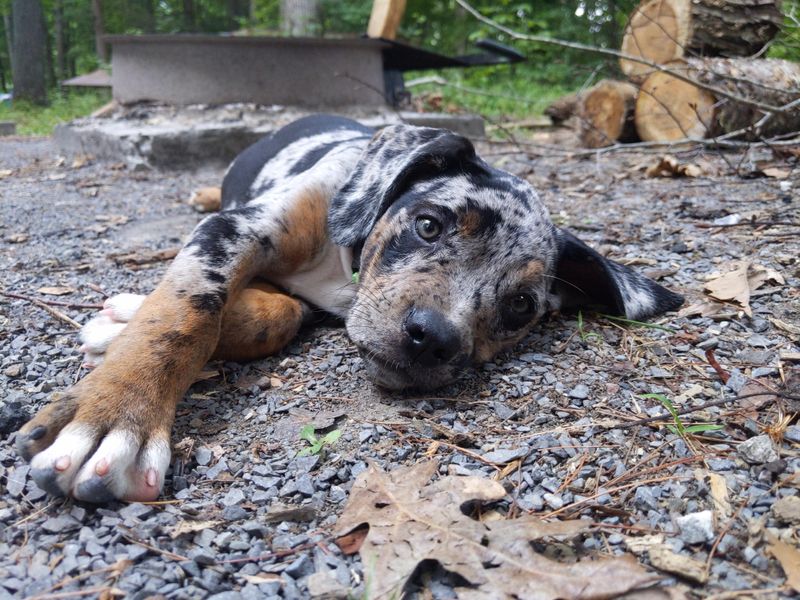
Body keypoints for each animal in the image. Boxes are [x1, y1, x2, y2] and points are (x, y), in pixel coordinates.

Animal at [14, 115, 680, 504]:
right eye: (429, 224)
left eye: (520, 306)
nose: (432, 339)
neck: (344, 263)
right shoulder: (236, 229)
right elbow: (185, 313)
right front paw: (115, 414)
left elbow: (271, 316)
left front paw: (119, 323)